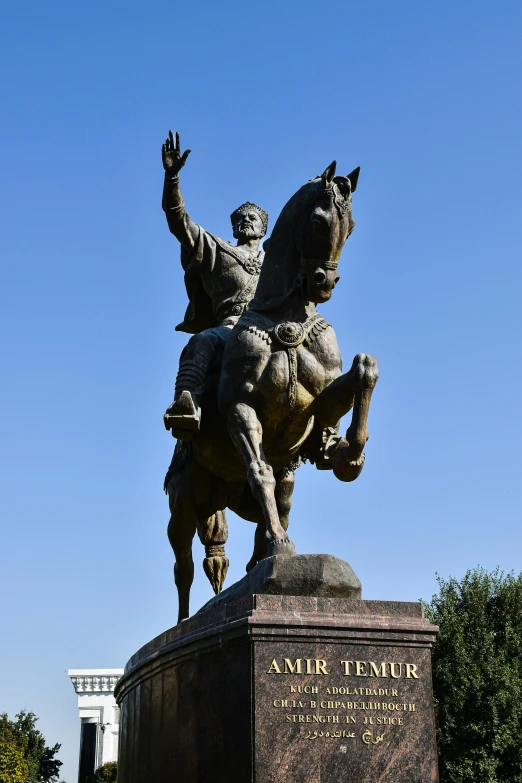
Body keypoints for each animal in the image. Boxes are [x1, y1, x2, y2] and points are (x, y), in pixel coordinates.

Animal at [167, 162, 378, 620]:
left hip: (268, 482)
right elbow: (257, 468)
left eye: (352, 227)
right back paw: (185, 620)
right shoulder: (240, 410)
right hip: (183, 502)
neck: (287, 317)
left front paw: (350, 454)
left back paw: (263, 561)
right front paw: (281, 545)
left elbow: (365, 370)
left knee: (278, 502)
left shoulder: (315, 405)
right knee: (183, 566)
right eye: (317, 222)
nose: (324, 282)